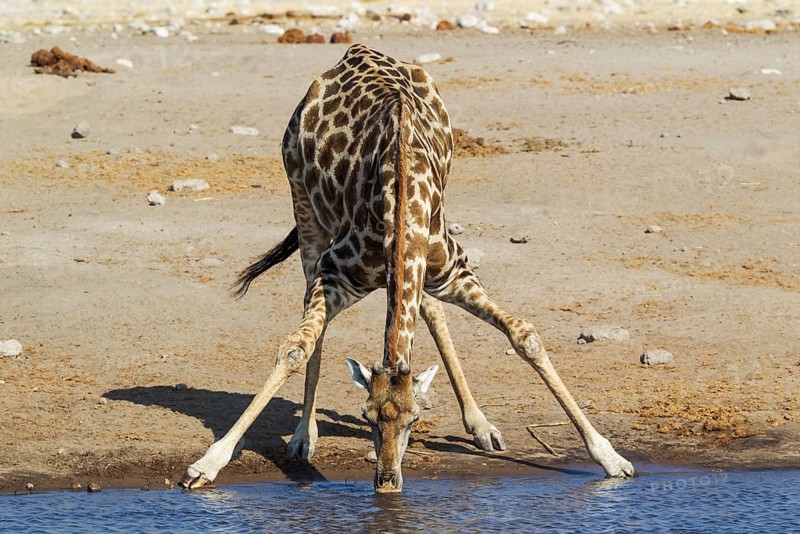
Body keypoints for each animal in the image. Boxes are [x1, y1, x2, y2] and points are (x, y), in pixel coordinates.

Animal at [181, 44, 634, 493]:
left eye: (414, 417)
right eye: (366, 415)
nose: (387, 482)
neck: (403, 200)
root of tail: (354, 51)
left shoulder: (452, 272)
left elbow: (524, 334)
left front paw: (611, 458)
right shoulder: (334, 274)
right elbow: (296, 347)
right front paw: (207, 463)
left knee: (428, 310)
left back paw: (481, 425)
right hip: (305, 210)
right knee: (315, 309)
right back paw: (303, 436)